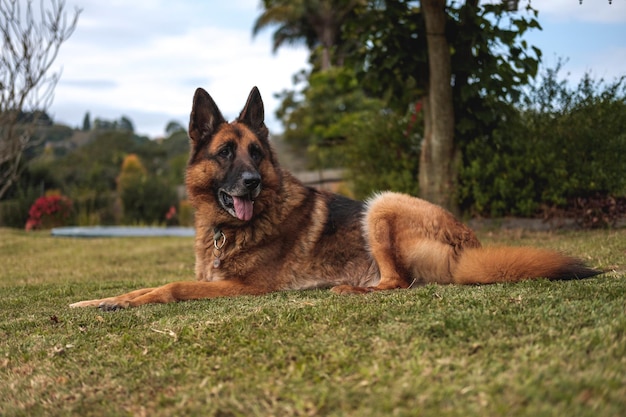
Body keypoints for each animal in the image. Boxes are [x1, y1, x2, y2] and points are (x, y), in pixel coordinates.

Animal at [70, 88, 604, 308]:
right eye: (224, 154)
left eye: (256, 153)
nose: (252, 183)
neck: (230, 228)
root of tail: (468, 246)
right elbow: (143, 286)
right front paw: (99, 301)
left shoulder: (245, 288)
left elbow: (173, 287)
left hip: (382, 205)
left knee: (399, 283)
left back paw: (350, 289)